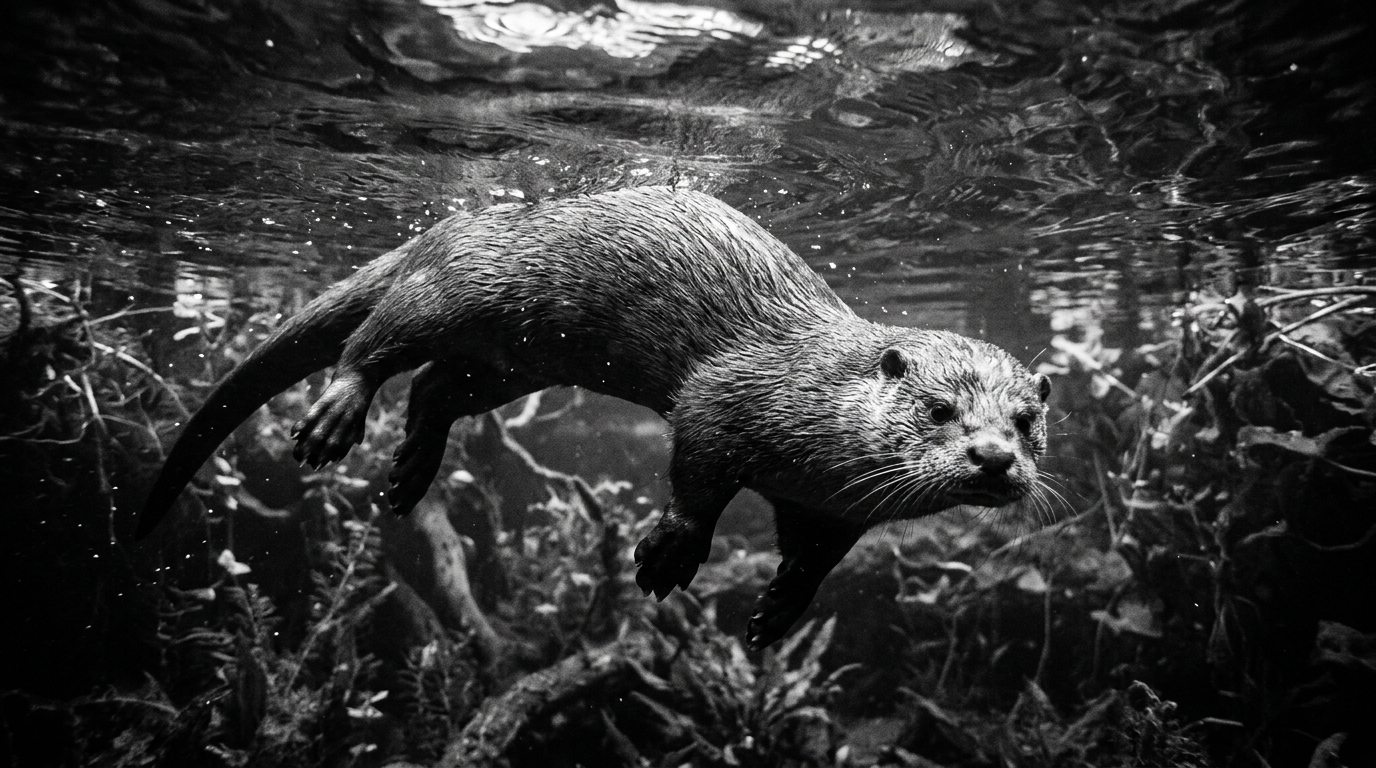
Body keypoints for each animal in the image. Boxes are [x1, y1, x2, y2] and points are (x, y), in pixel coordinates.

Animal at [137, 186, 1050, 650]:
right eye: (940, 409)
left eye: (1026, 421)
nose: (994, 460)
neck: (819, 411)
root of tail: (445, 229)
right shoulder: (728, 398)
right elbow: (696, 474)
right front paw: (668, 553)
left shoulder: (828, 508)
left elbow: (813, 559)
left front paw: (778, 610)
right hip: (458, 292)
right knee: (378, 342)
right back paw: (335, 419)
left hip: (509, 365)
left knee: (435, 389)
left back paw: (411, 471)